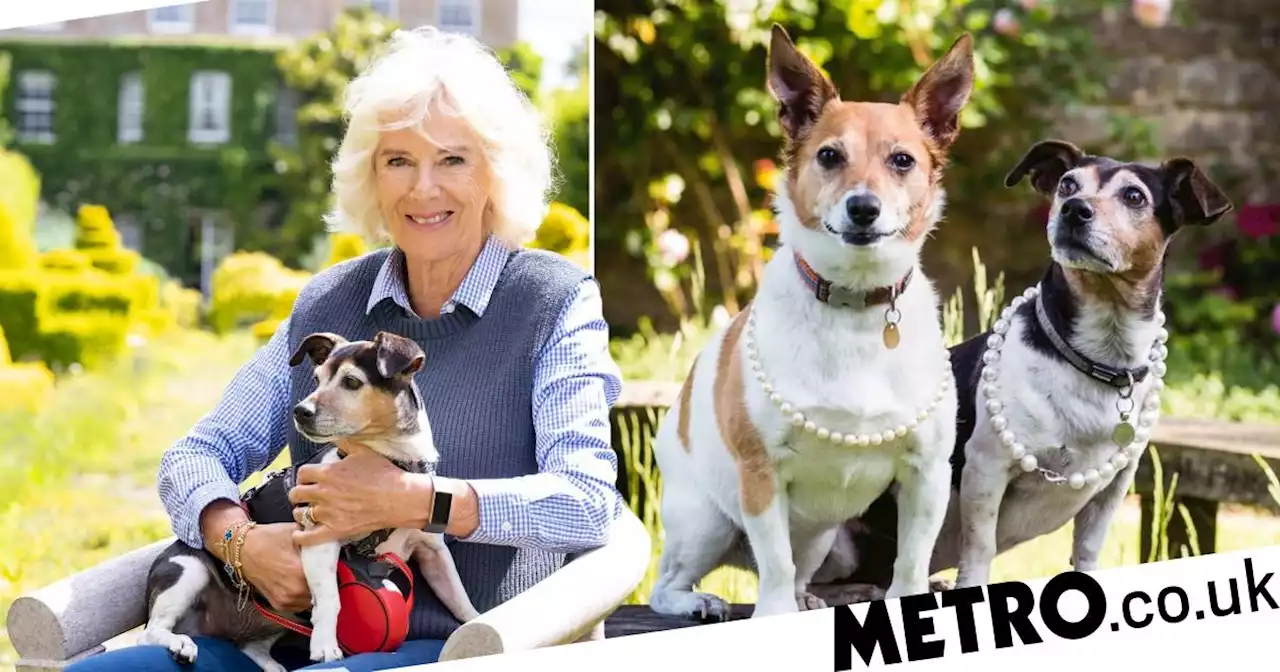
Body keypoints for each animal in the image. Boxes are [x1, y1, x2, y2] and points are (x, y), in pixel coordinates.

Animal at [138, 330, 481, 665]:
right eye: (316, 379)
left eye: (352, 382)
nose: (300, 411)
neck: (391, 461)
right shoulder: (320, 540)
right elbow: (330, 597)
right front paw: (326, 646)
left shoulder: (434, 552)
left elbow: (459, 598)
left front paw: (476, 622)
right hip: (188, 570)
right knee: (151, 633)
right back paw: (180, 644)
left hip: (273, 620)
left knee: (252, 647)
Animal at [645, 23, 972, 622]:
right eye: (829, 155)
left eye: (902, 161)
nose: (863, 208)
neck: (855, 303)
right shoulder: (760, 473)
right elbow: (774, 560)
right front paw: (772, 616)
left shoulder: (927, 473)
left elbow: (912, 558)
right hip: (704, 525)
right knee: (673, 582)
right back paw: (700, 601)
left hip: (829, 540)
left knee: (804, 571)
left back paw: (816, 597)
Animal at [814, 140, 1233, 591]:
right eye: (1067, 186)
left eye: (1134, 196)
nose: (1075, 210)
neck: (1097, 356)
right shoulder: (987, 468)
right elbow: (980, 549)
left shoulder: (1112, 488)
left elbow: (1088, 550)